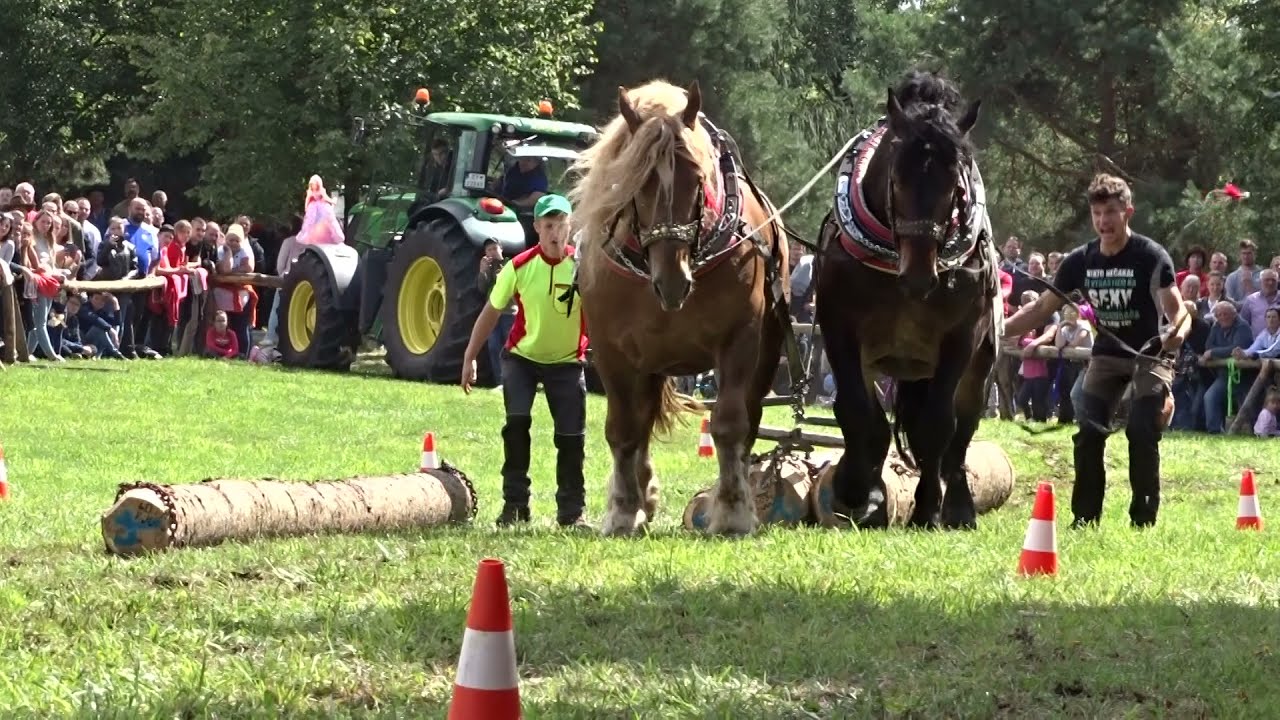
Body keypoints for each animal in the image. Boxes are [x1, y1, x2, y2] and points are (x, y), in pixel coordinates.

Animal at [569, 79, 790, 537]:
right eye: (638, 182)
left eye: (698, 177)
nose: (672, 281)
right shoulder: (612, 351)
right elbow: (623, 429)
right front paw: (623, 510)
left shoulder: (740, 339)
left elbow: (730, 424)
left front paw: (733, 511)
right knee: (641, 421)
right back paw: (643, 494)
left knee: (749, 415)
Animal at [814, 70, 1001, 531]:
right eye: (896, 179)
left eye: (954, 185)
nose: (919, 276)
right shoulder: (840, 329)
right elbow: (856, 413)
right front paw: (855, 489)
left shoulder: (960, 337)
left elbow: (937, 427)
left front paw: (929, 507)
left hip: (979, 366)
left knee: (961, 432)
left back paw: (958, 506)